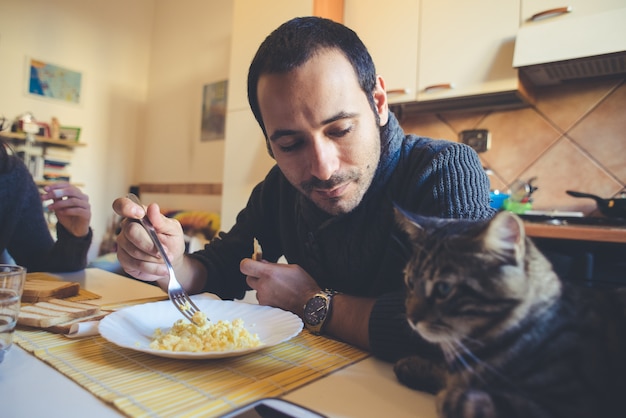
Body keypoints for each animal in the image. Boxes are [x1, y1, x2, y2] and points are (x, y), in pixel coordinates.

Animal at [392, 211, 624, 418]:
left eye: (444, 289)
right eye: (410, 282)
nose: (411, 319)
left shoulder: (565, 405)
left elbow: (456, 399)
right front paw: (415, 367)